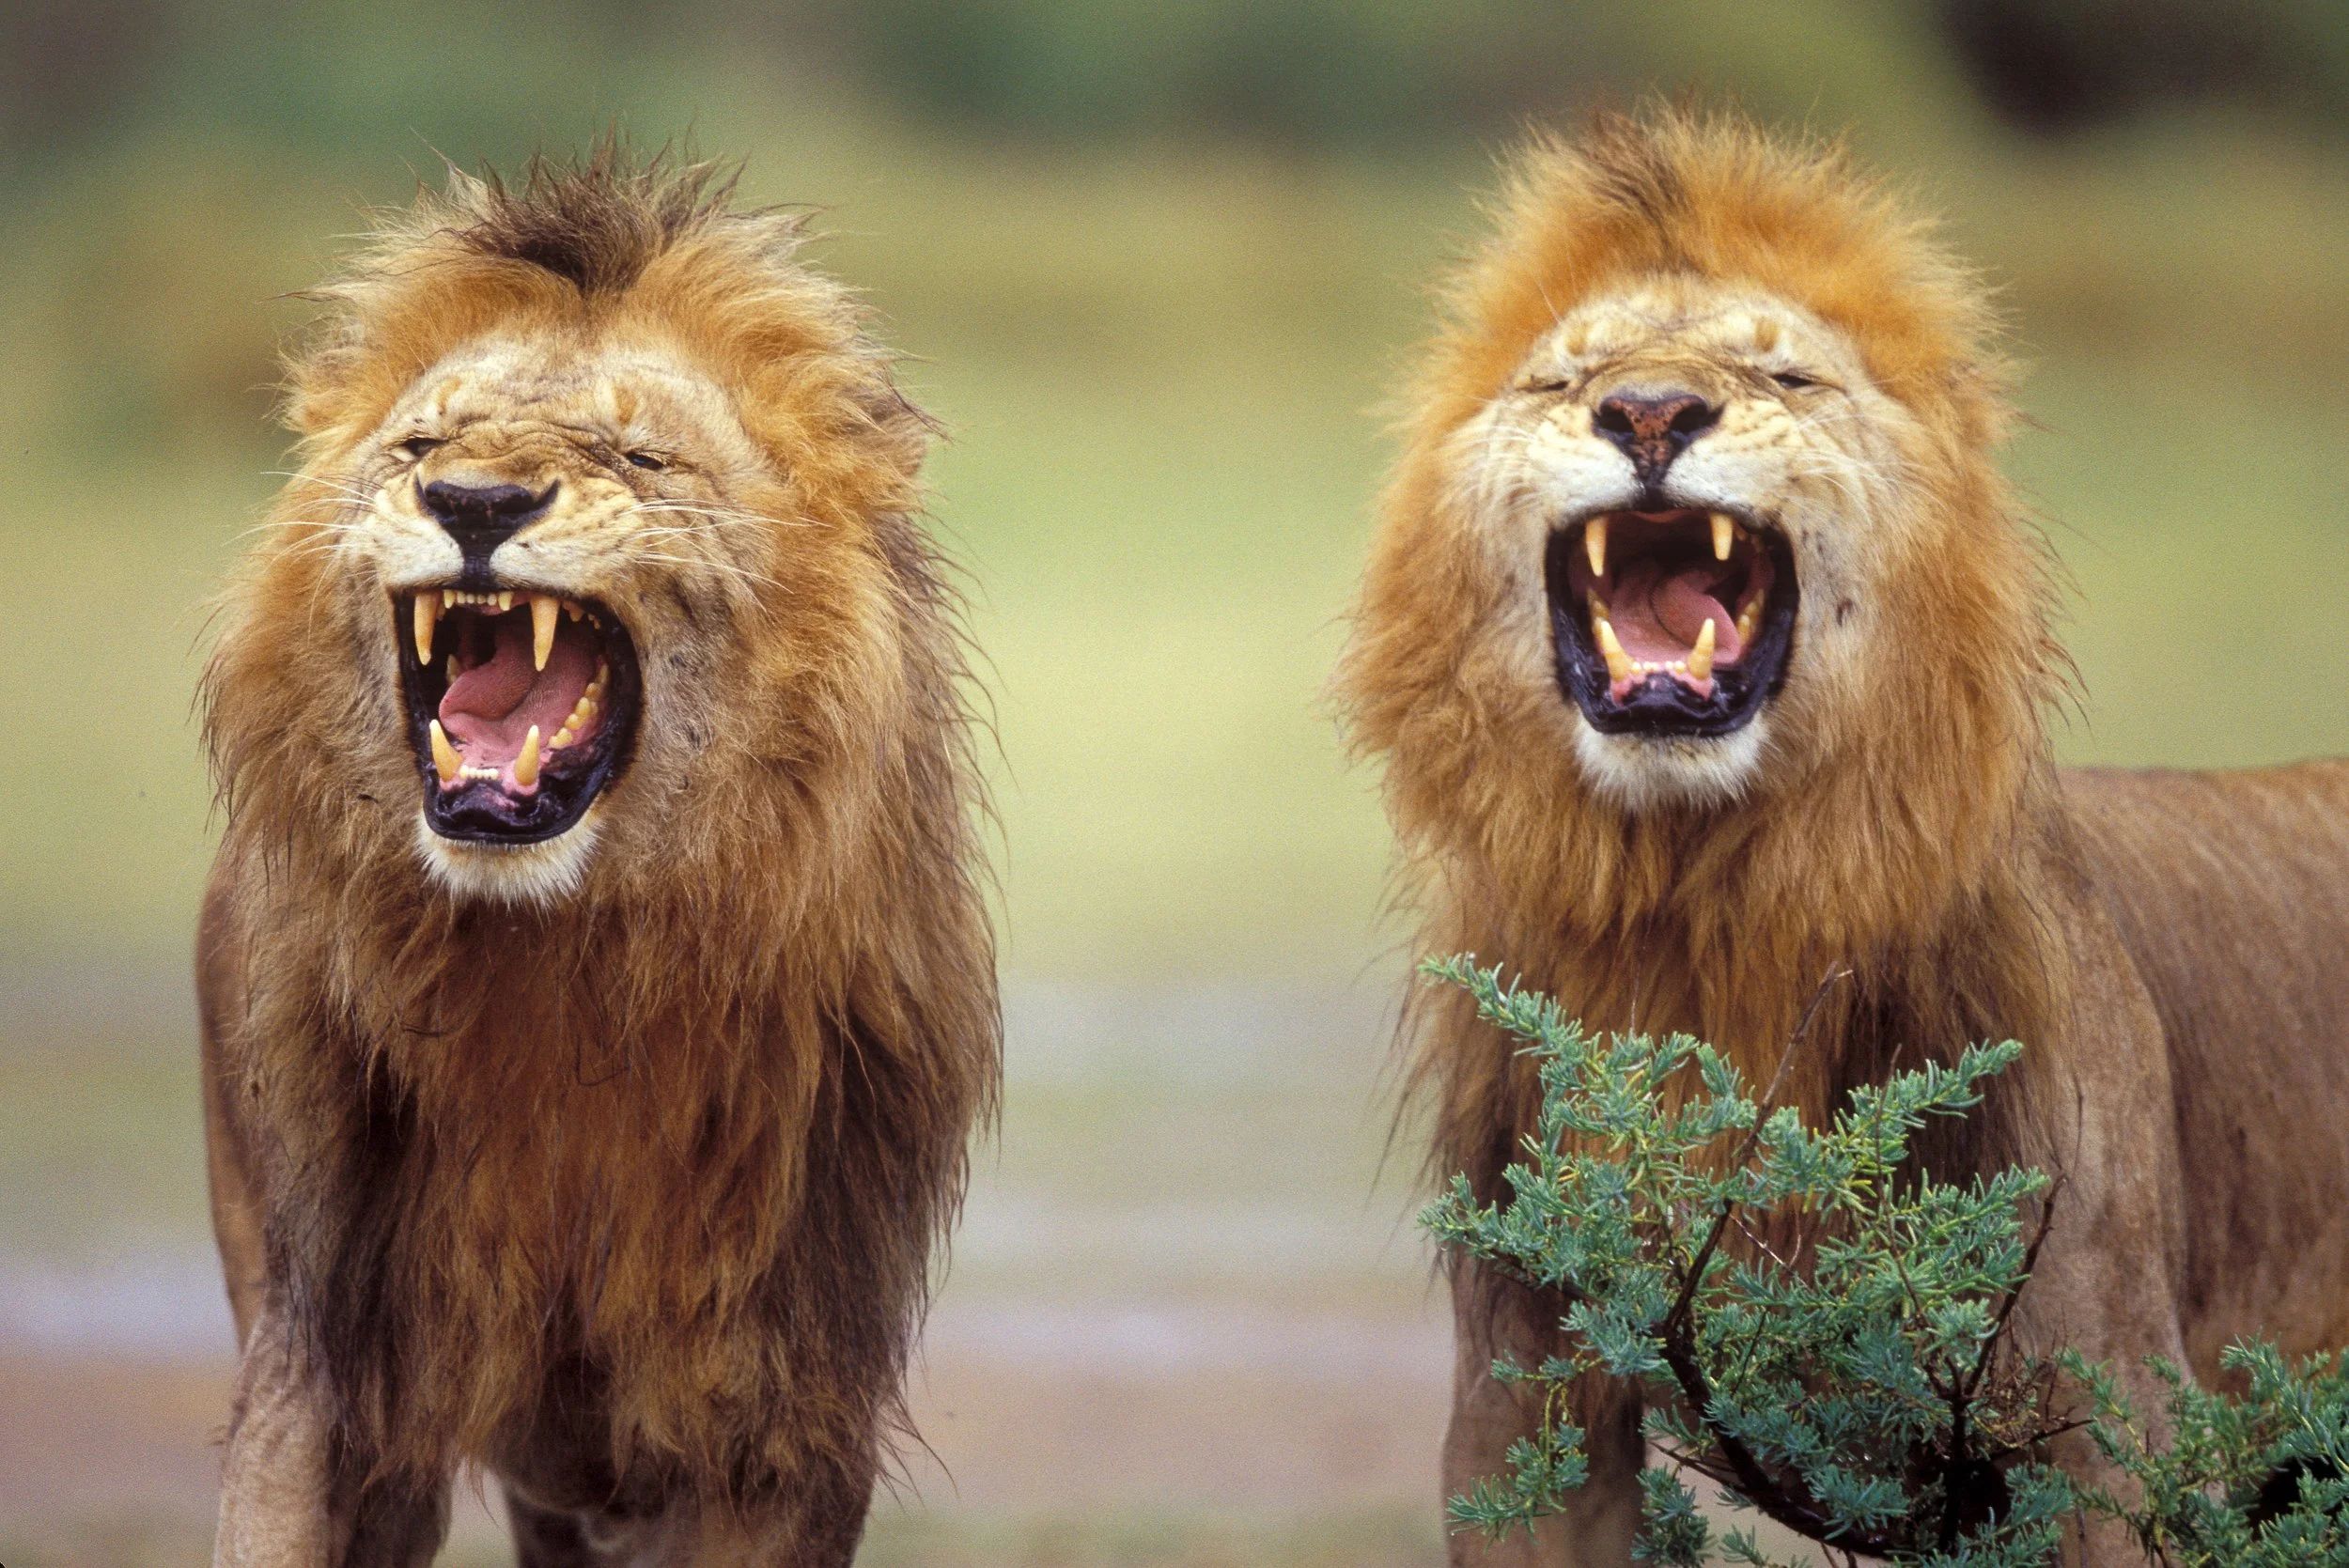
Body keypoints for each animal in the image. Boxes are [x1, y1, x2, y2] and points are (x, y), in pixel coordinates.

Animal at [196, 146, 998, 1567]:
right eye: (422, 446)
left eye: (638, 452)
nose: (475, 502)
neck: (566, 959)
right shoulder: (322, 1363)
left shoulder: (772, 1411)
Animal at [1335, 107, 2349, 1565]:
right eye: (1562, 379)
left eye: (1788, 375)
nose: (1648, 412)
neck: (1702, 903)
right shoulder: (1525, 1382)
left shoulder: (2103, 1407)